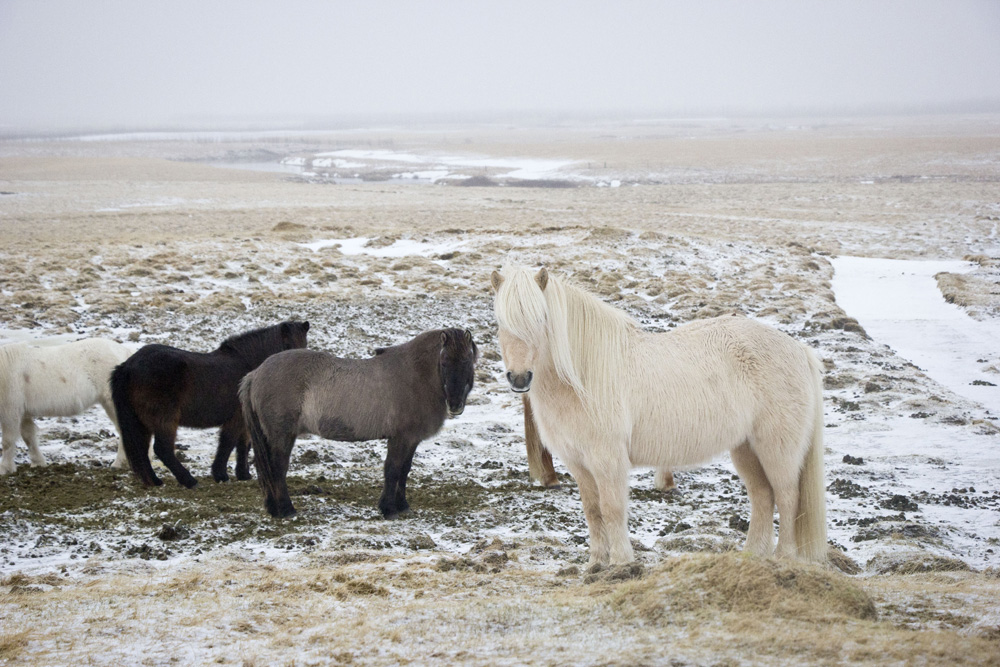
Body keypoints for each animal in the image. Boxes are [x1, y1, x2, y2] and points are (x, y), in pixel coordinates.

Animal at [0, 340, 133, 474]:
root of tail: (125, 352)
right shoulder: (23, 413)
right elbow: (28, 436)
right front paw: (38, 463)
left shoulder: (10, 411)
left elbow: (7, 441)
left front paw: (5, 469)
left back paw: (119, 464)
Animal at [109, 320, 308, 488]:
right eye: (286, 345)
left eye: (304, 345)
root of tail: (128, 365)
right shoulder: (235, 419)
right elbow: (227, 443)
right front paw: (220, 475)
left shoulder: (244, 421)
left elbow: (243, 445)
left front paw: (243, 475)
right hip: (164, 419)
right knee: (163, 449)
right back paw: (189, 481)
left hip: (140, 422)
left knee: (142, 451)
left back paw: (154, 481)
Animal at [240, 328, 478, 520]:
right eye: (444, 362)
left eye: (467, 361)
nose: (455, 404)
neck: (415, 376)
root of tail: (256, 373)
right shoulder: (400, 438)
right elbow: (392, 470)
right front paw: (388, 509)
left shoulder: (411, 440)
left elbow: (404, 470)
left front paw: (402, 506)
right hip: (282, 435)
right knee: (277, 469)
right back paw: (286, 510)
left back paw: (274, 509)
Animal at [492, 264, 828, 568]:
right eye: (500, 321)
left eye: (541, 318)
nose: (519, 378)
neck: (583, 377)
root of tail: (800, 350)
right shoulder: (578, 462)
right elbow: (592, 510)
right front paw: (596, 565)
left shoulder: (608, 459)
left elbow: (612, 509)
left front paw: (622, 564)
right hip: (746, 448)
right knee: (762, 496)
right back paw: (752, 556)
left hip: (777, 449)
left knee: (787, 497)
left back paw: (784, 558)